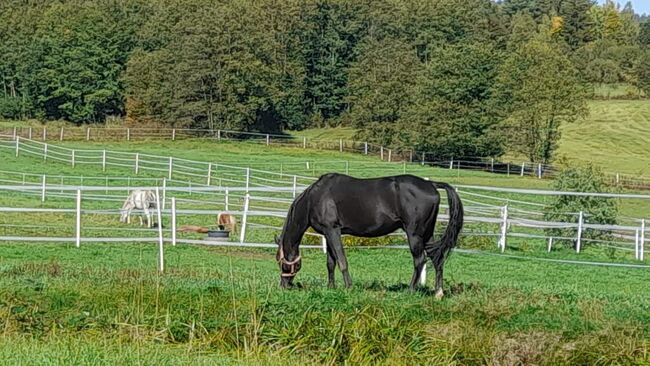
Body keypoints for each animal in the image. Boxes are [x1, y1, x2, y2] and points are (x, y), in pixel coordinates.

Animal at [276, 174, 464, 298]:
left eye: (282, 263)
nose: (283, 286)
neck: (314, 198)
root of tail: (431, 184)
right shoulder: (328, 233)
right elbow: (330, 263)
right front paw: (331, 287)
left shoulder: (333, 231)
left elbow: (342, 260)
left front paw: (349, 287)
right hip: (427, 234)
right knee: (437, 258)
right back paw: (438, 292)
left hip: (414, 234)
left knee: (420, 260)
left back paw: (410, 291)